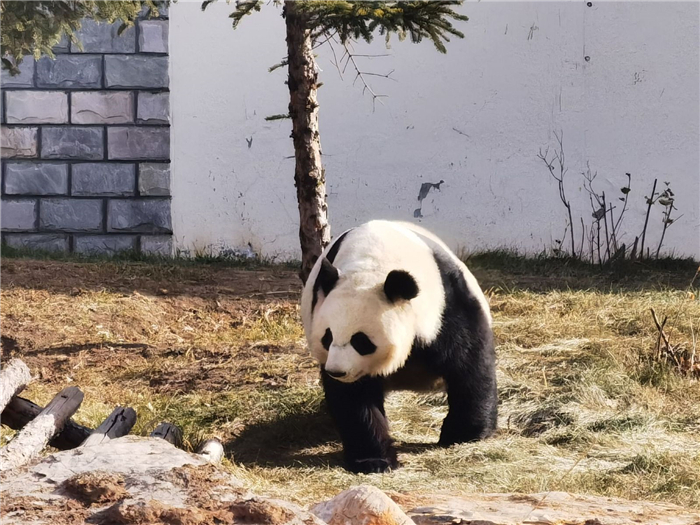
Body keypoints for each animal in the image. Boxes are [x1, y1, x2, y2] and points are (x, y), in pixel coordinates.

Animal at [300, 219, 498, 472]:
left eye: (360, 341)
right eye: (327, 337)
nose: (337, 371)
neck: (372, 265)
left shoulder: (446, 306)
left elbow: (468, 363)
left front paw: (463, 434)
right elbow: (354, 398)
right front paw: (374, 461)